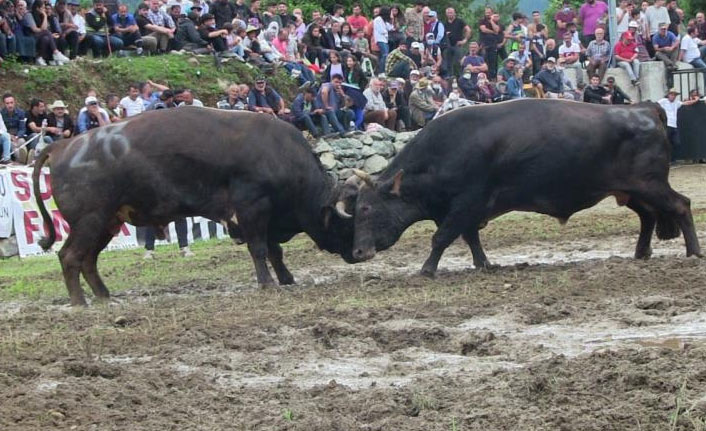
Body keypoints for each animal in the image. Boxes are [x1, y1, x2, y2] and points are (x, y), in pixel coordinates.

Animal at [32, 108, 352, 308]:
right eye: (347, 219)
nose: (358, 253)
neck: (279, 152)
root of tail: (63, 146)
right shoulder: (252, 207)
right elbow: (260, 249)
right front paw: (268, 284)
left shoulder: (267, 214)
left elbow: (274, 250)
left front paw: (286, 279)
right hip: (89, 221)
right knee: (69, 256)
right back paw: (79, 302)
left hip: (107, 222)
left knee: (88, 260)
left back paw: (104, 296)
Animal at [350, 100, 700, 276]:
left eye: (366, 207)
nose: (357, 252)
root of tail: (644, 108)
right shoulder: (463, 210)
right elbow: (469, 237)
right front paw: (484, 264)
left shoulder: (467, 203)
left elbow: (442, 237)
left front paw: (426, 269)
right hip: (630, 190)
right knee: (648, 216)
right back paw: (641, 252)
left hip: (650, 185)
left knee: (681, 205)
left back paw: (693, 252)